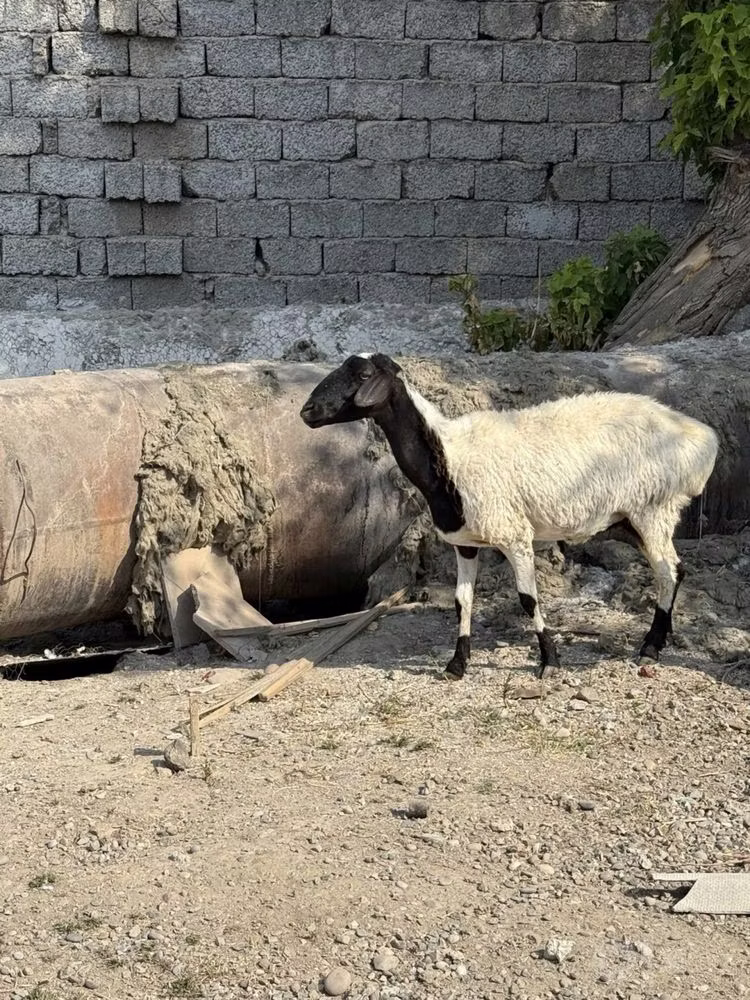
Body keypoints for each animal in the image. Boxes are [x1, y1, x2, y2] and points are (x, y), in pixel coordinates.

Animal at [300, 353, 719, 681]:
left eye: (363, 376)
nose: (306, 411)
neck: (447, 456)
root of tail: (703, 437)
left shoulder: (514, 533)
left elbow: (528, 599)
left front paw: (549, 661)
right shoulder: (465, 543)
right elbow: (462, 600)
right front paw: (457, 665)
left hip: (653, 507)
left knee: (668, 572)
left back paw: (651, 646)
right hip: (634, 519)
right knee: (675, 569)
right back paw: (660, 638)